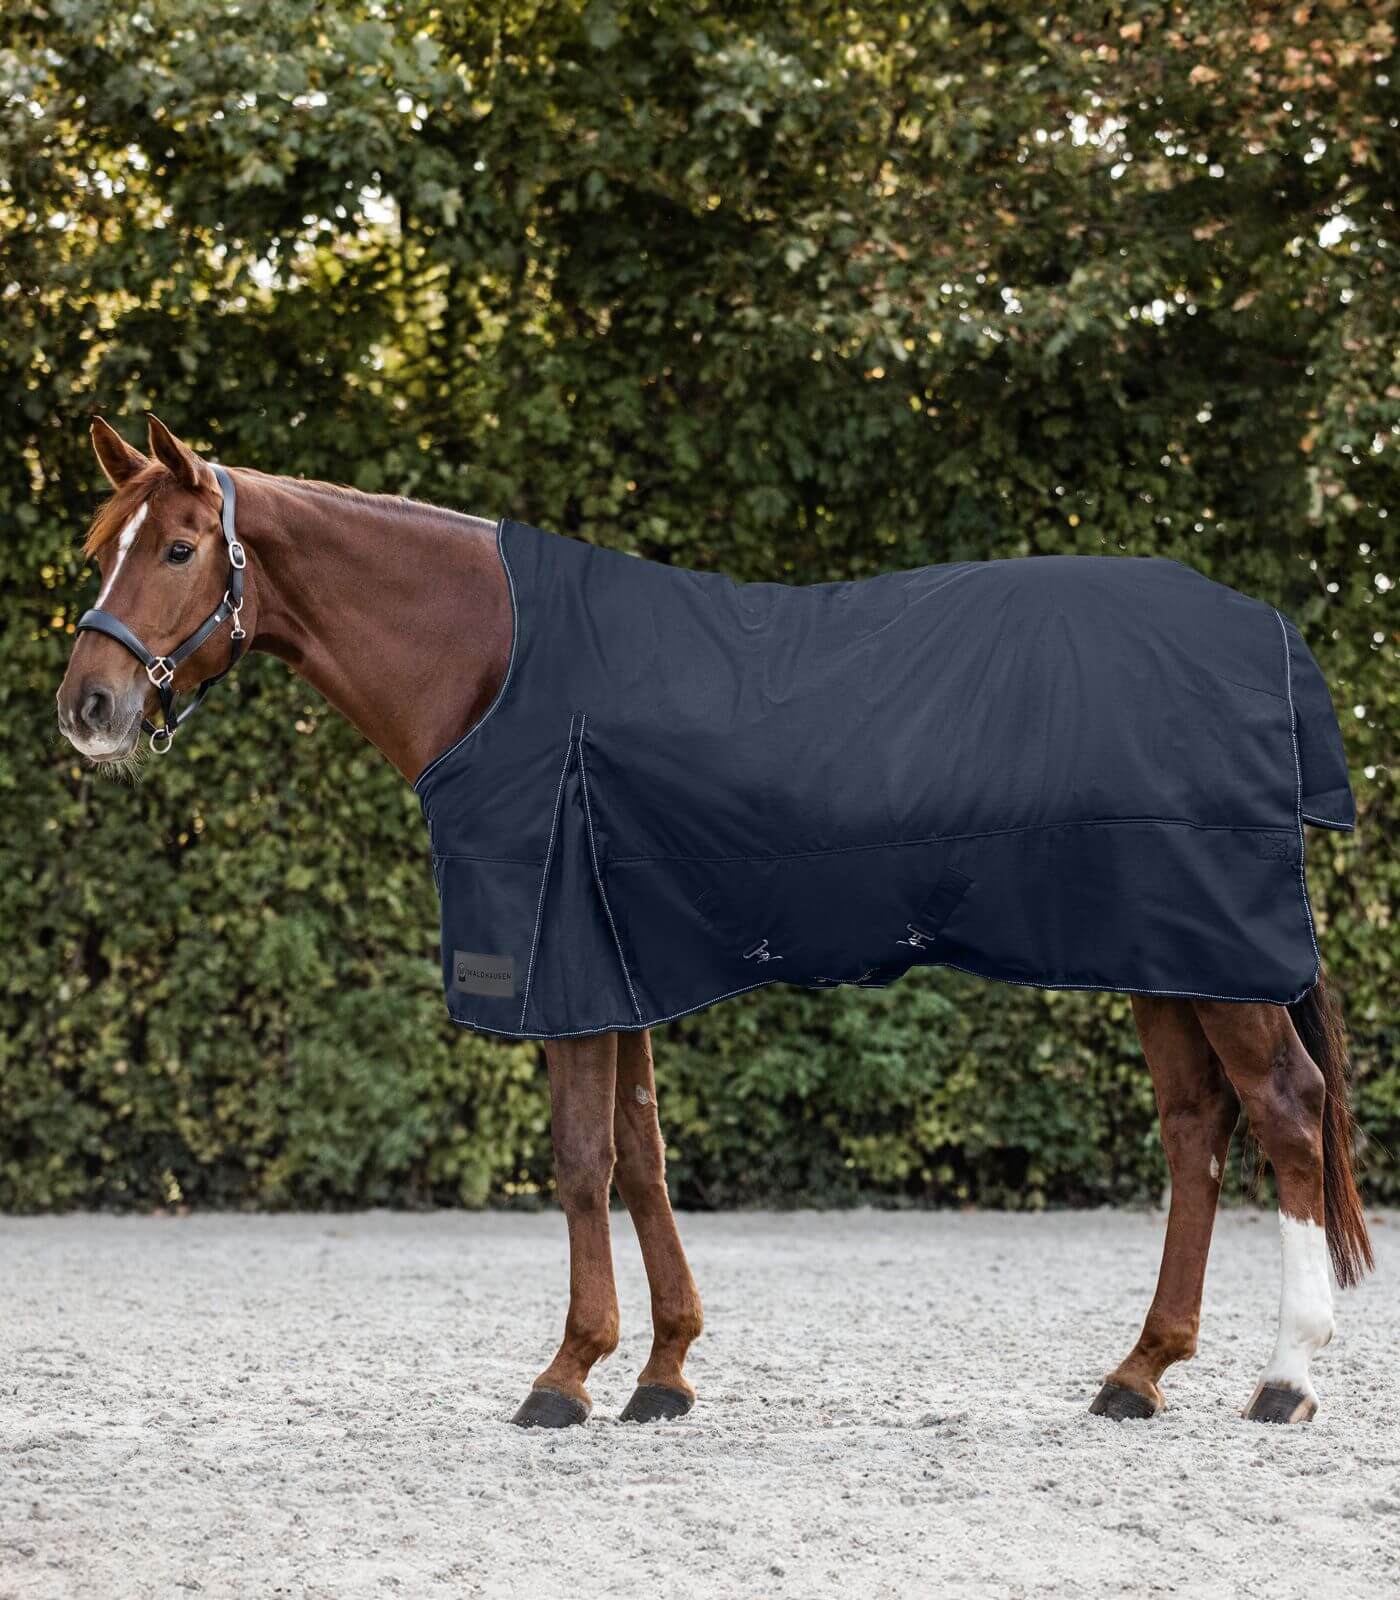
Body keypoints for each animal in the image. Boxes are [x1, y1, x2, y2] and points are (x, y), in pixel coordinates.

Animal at [57, 415, 1373, 1429]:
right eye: (94, 548)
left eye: (178, 547)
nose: (89, 707)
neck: (496, 661)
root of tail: (1264, 634)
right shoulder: (614, 962)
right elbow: (640, 1157)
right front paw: (665, 1368)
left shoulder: (564, 965)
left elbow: (581, 1161)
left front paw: (565, 1374)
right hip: (1167, 956)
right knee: (1196, 1128)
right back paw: (1138, 1371)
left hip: (1217, 959)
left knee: (1285, 1112)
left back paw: (1283, 1378)